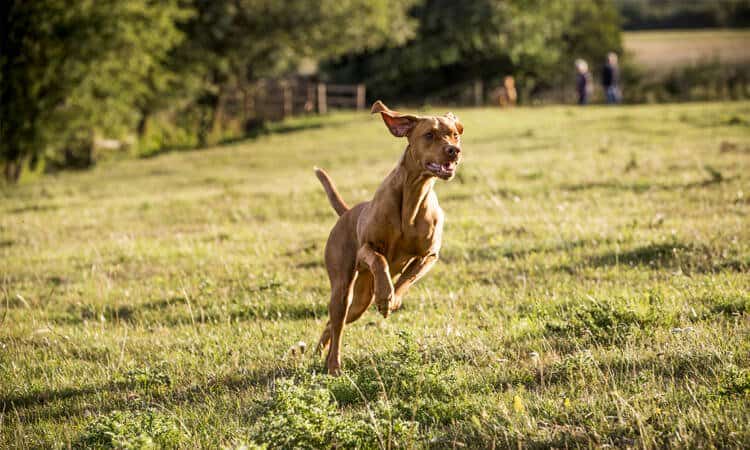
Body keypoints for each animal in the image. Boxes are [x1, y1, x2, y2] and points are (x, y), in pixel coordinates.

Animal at [312, 100, 464, 374]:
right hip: (342, 289)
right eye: (429, 135)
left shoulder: (429, 255)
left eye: (454, 134)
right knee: (337, 323)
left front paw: (392, 300)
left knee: (333, 323)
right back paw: (333, 365)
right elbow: (380, 260)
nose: (454, 151)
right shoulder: (367, 249)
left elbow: (407, 278)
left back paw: (318, 354)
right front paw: (385, 296)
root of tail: (347, 212)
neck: (414, 195)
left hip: (360, 301)